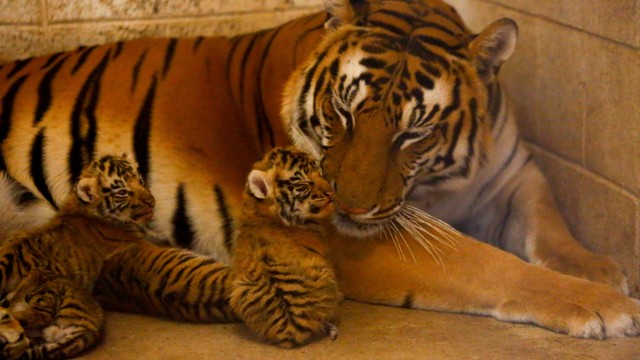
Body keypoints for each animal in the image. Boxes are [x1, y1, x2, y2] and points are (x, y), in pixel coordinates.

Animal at [0, 0, 636, 338]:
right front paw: (602, 305)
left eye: (412, 133)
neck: (439, 184)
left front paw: (599, 269)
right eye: (342, 112)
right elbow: (487, 264)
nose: (348, 206)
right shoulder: (352, 240)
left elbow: (548, 223)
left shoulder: (511, 173)